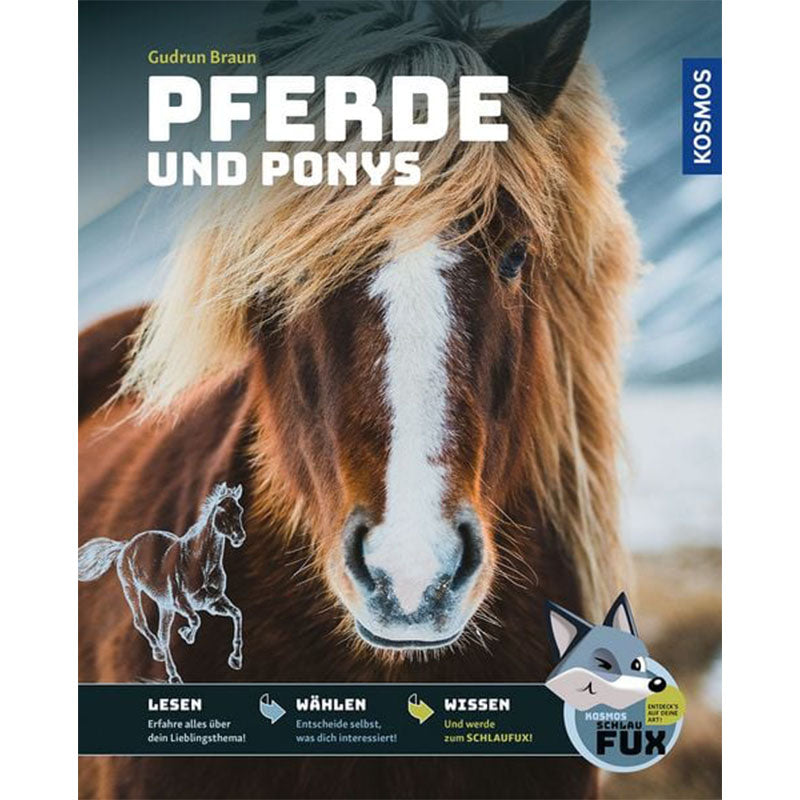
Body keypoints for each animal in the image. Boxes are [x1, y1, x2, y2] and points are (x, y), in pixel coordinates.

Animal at [78, 482, 246, 683]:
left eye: (239, 510)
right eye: (221, 510)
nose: (239, 537)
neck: (200, 563)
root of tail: (126, 546)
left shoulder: (212, 602)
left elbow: (237, 614)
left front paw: (236, 659)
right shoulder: (181, 603)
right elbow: (196, 620)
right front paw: (186, 634)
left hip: (164, 606)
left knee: (163, 636)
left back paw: (167, 665)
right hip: (132, 590)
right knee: (142, 623)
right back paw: (166, 662)